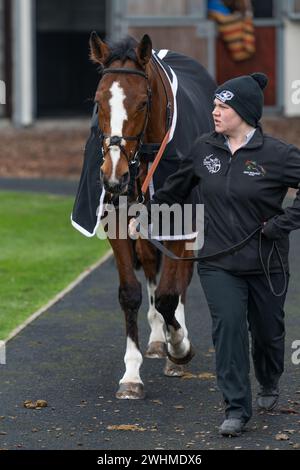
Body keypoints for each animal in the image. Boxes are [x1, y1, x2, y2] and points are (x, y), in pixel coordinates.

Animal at [83, 32, 214, 400]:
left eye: (142, 102)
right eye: (98, 101)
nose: (113, 176)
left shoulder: (180, 222)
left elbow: (171, 292)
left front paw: (180, 347)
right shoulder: (118, 222)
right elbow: (131, 293)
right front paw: (131, 374)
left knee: (180, 280)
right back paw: (158, 339)